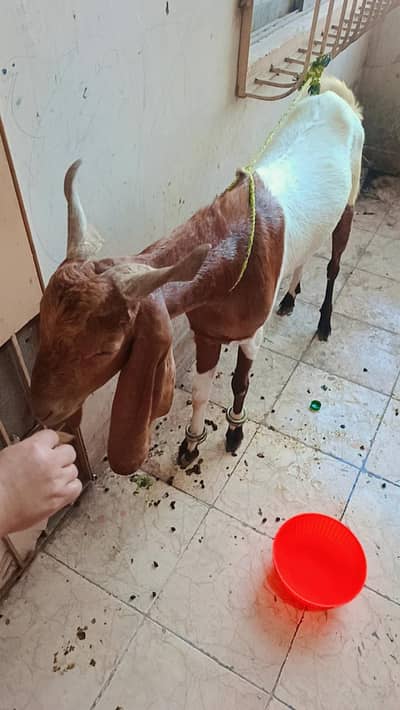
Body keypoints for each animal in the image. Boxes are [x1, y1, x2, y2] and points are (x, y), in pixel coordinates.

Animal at [31, 76, 364, 474]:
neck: (234, 248)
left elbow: (239, 383)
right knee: (308, 252)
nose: (41, 410)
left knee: (333, 264)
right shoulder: (206, 330)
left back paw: (324, 322)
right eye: (43, 324)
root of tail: (335, 94)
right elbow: (201, 392)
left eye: (105, 349)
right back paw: (288, 298)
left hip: (351, 197)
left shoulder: (252, 333)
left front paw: (234, 432)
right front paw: (190, 444)